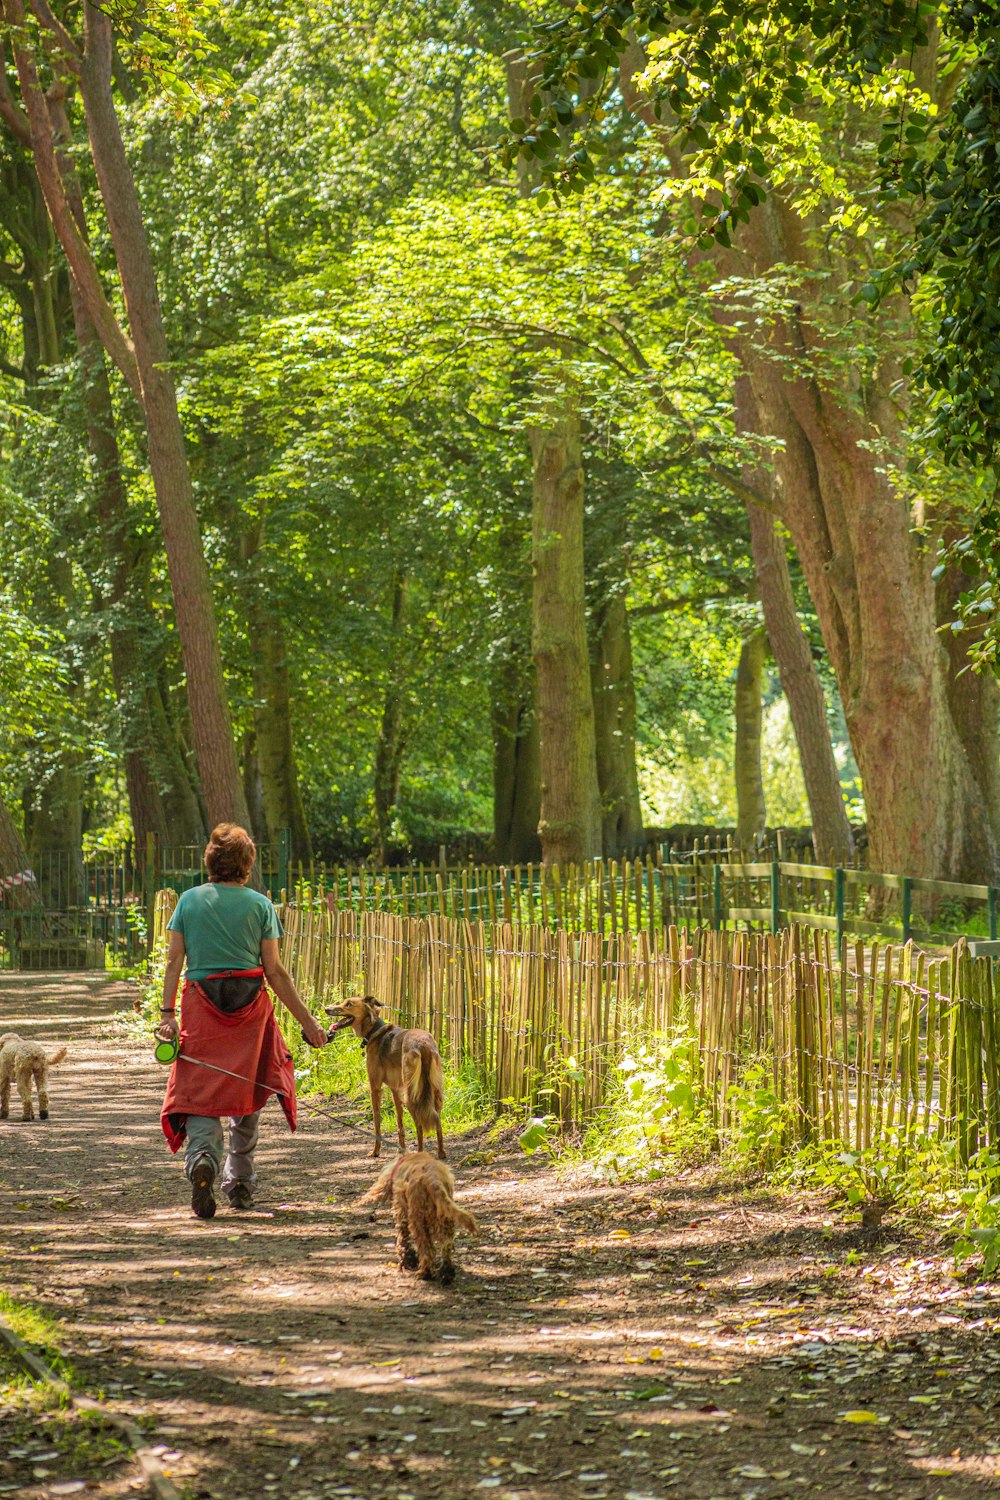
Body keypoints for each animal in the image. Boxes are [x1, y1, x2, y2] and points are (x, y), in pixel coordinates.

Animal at [328, 996, 446, 1158]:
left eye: (349, 1004)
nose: (326, 1009)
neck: (375, 1030)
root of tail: (423, 1044)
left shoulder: (375, 1087)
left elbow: (377, 1121)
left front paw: (375, 1151)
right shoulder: (395, 1089)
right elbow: (399, 1121)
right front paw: (401, 1150)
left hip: (411, 1095)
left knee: (420, 1126)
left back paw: (419, 1154)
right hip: (435, 1093)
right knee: (438, 1122)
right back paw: (441, 1153)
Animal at [358, 1146, 479, 1278]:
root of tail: (433, 1179)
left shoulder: (402, 1210)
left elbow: (403, 1238)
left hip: (417, 1218)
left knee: (425, 1247)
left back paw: (424, 1272)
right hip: (444, 1215)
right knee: (446, 1243)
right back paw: (446, 1271)